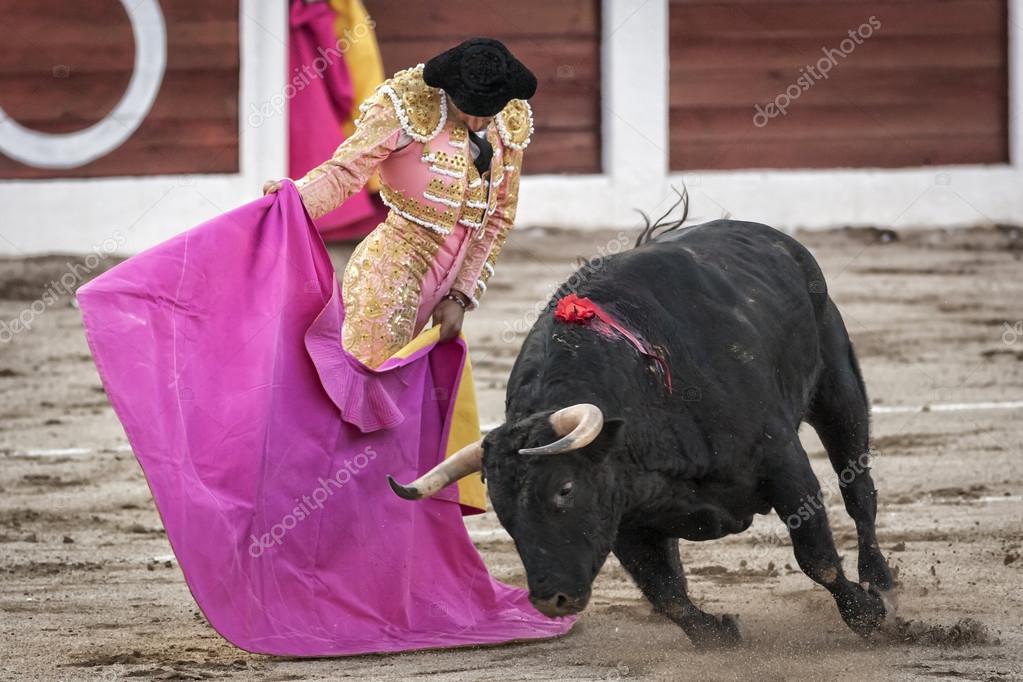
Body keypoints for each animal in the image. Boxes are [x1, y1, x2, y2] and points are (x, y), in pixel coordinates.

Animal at [390, 218, 896, 646]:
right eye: (499, 507)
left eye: (565, 489)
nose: (551, 600)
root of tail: (777, 240)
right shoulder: (626, 515)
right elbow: (665, 591)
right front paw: (720, 632)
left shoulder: (781, 460)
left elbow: (818, 557)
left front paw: (870, 615)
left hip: (838, 387)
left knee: (859, 491)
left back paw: (881, 579)